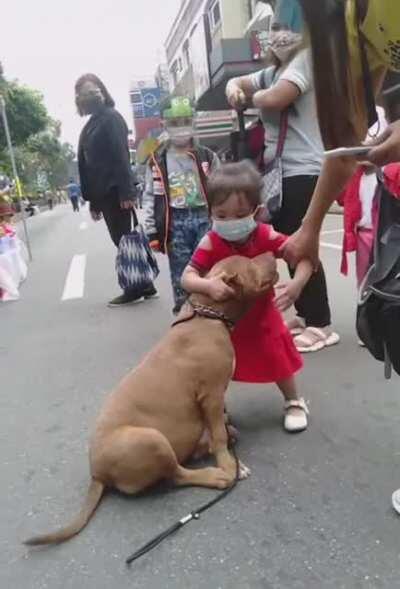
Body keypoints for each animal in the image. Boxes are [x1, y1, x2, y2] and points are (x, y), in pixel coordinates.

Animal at [25, 250, 278, 544]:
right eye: (249, 262)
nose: (272, 252)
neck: (208, 316)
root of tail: (97, 472)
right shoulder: (212, 395)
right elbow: (219, 435)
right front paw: (231, 464)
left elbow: (221, 430)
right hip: (151, 439)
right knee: (177, 474)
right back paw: (216, 476)